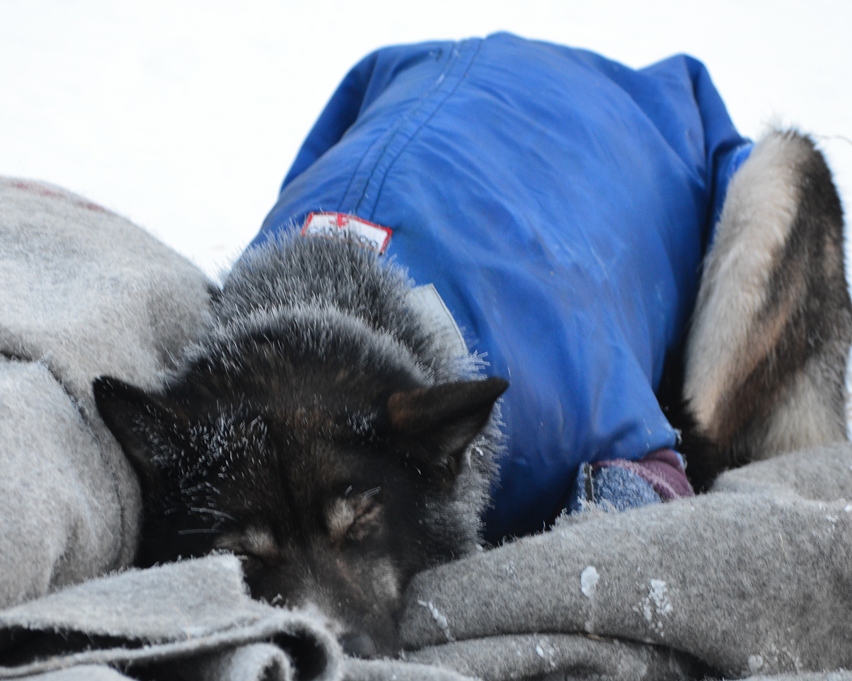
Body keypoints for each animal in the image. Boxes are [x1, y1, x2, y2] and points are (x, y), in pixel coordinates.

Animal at [93, 34, 852, 658]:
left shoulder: (636, 445)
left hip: (775, 175)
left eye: (362, 515)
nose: (331, 648)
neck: (332, 293)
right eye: (240, 553)